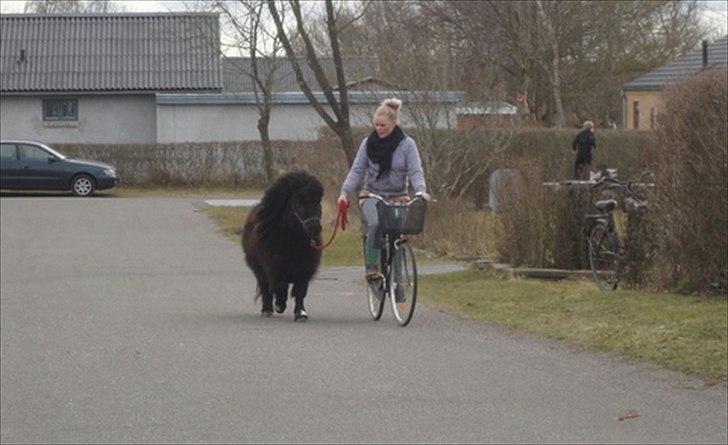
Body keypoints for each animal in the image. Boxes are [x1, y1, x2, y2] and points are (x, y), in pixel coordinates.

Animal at [243, 170, 322, 320]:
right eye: (299, 202)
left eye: (318, 202)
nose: (315, 228)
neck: (291, 240)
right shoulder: (275, 268)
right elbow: (280, 288)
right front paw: (279, 306)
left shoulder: (304, 270)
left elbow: (300, 291)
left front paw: (300, 314)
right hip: (259, 270)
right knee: (265, 287)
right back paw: (267, 310)